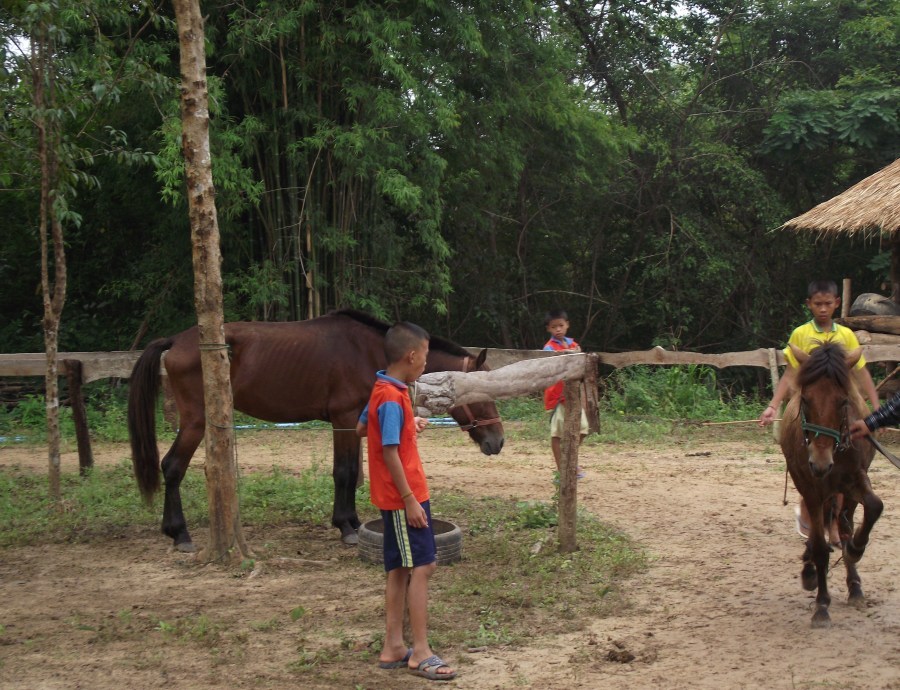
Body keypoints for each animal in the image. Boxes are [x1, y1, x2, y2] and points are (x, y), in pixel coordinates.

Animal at [127, 310, 506, 552]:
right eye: (482, 395)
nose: (497, 441)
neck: (369, 352)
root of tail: (177, 341)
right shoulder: (343, 419)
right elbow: (344, 473)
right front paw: (346, 527)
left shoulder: (358, 421)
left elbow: (351, 474)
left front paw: (350, 521)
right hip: (195, 421)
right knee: (172, 467)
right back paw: (179, 534)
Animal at [784, 342, 884, 628]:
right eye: (806, 399)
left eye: (843, 401)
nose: (820, 463)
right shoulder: (811, 489)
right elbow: (819, 547)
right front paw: (821, 606)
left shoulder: (855, 481)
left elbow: (875, 506)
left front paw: (855, 550)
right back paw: (810, 571)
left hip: (843, 495)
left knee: (844, 524)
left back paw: (855, 586)